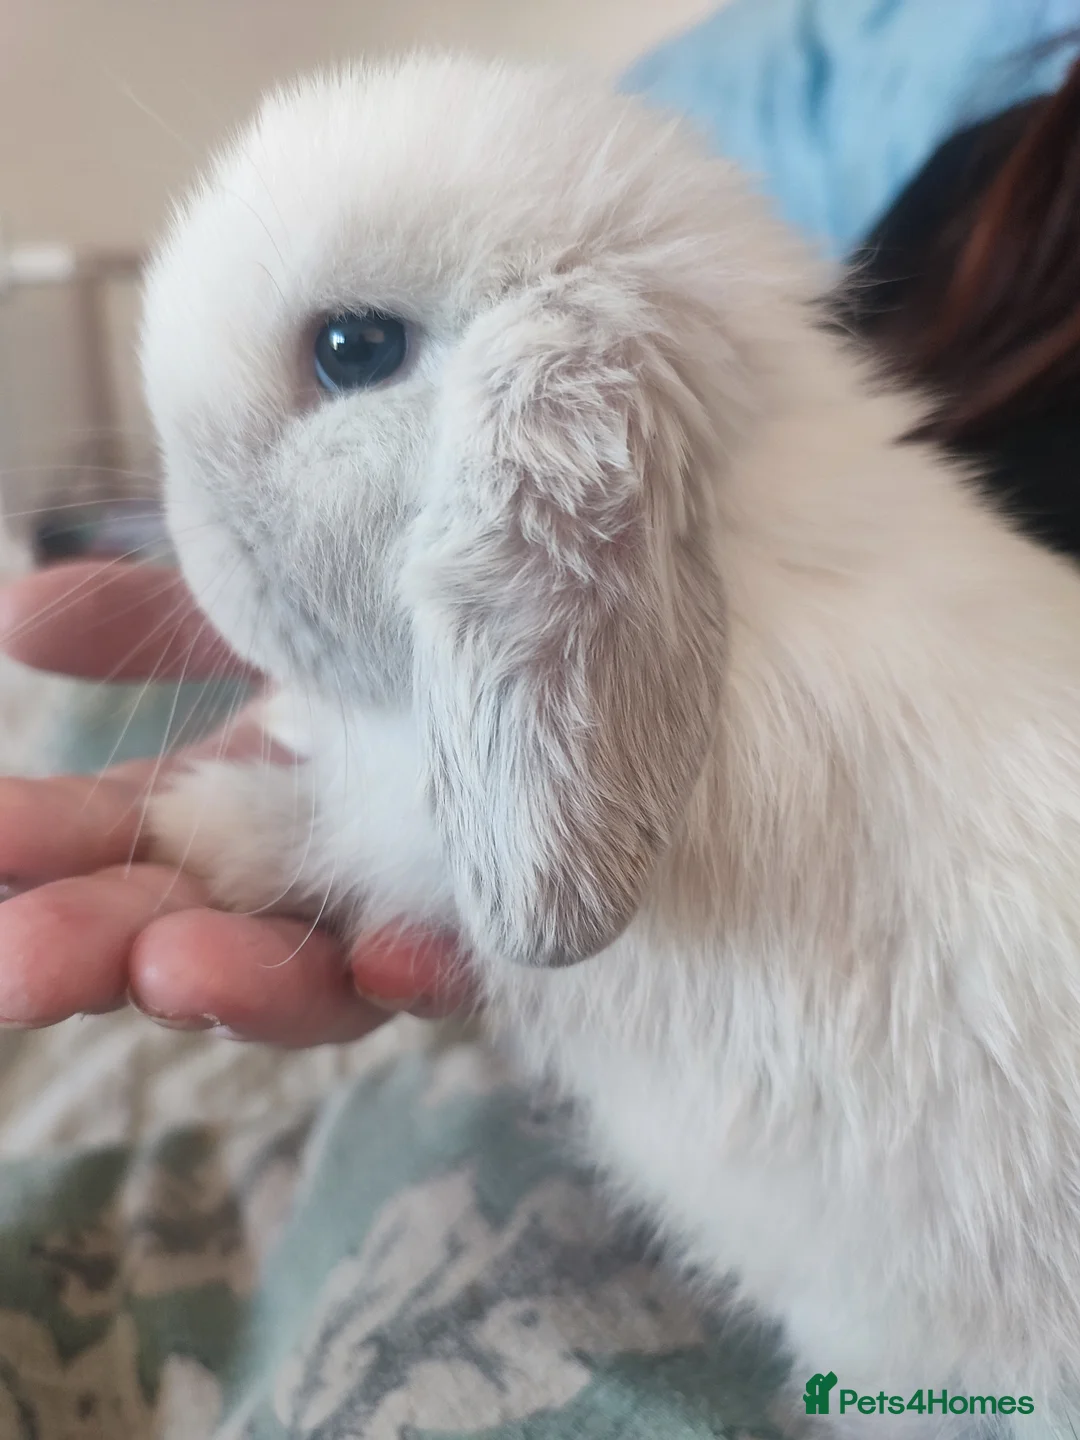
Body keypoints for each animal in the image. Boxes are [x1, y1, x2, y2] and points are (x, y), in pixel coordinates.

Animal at [140, 53, 1080, 1438]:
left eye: (353, 349)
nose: (192, 553)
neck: (740, 566)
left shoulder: (430, 845)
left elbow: (339, 840)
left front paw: (202, 818)